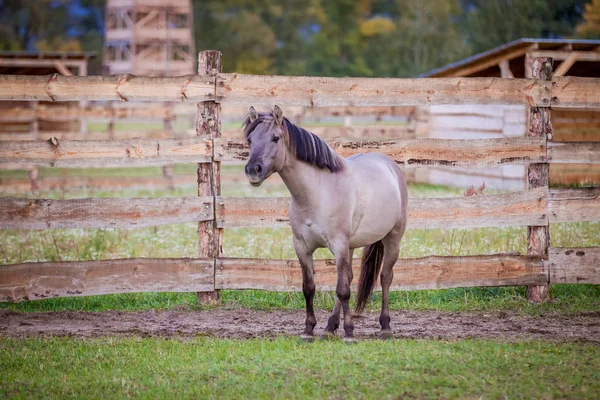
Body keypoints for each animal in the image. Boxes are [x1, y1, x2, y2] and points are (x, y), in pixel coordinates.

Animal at [244, 105, 408, 340]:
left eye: (275, 138)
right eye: (250, 139)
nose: (252, 171)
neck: (317, 192)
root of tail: (389, 164)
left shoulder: (338, 245)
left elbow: (343, 290)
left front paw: (349, 333)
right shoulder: (302, 247)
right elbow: (309, 287)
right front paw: (309, 330)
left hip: (392, 238)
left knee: (385, 276)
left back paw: (385, 326)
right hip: (351, 246)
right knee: (350, 277)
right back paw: (330, 326)